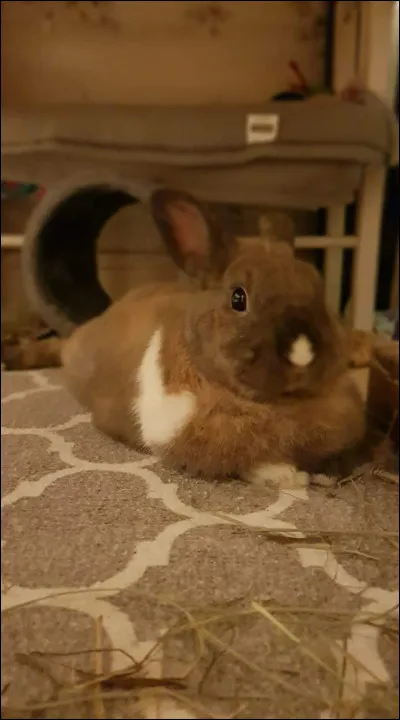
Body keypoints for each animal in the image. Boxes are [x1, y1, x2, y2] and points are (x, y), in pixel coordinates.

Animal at [58, 188, 368, 489]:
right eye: (238, 298)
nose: (302, 352)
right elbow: (249, 462)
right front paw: (287, 477)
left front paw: (326, 473)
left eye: (318, 286)